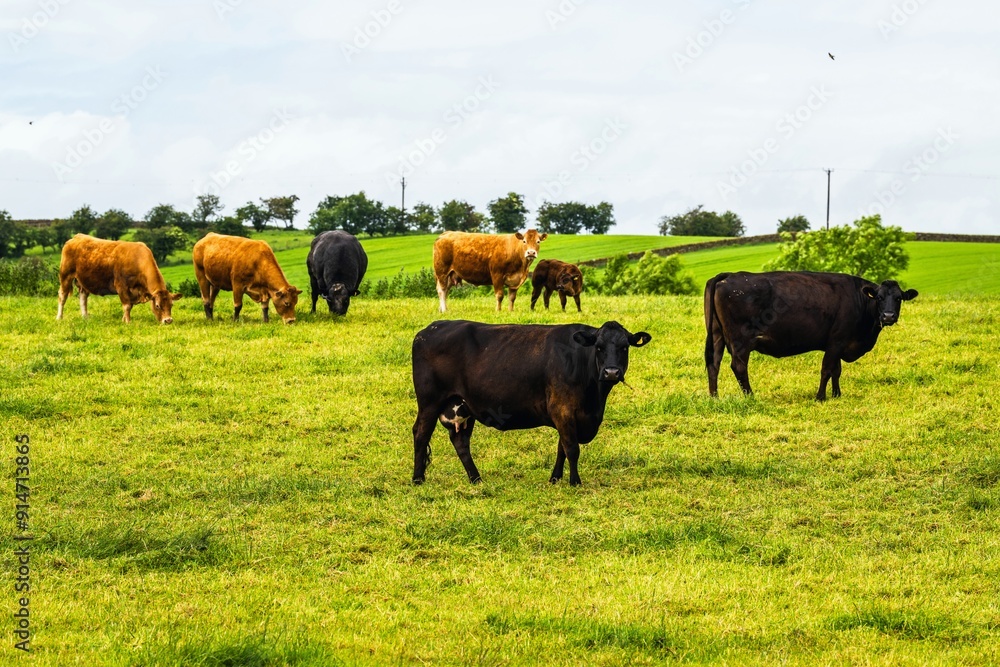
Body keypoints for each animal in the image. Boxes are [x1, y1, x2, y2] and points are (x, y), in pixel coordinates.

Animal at [411, 320, 651, 486]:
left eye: (624, 347)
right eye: (599, 347)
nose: (611, 372)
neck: (594, 401)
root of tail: (430, 328)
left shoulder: (568, 416)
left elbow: (561, 448)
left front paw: (555, 478)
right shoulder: (562, 409)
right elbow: (571, 448)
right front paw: (575, 482)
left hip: (463, 405)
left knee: (460, 441)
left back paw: (476, 479)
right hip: (429, 402)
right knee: (421, 434)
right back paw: (417, 478)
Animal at [704, 271, 918, 400]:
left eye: (898, 298)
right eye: (879, 298)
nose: (888, 316)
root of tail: (729, 275)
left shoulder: (838, 343)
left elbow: (836, 370)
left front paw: (836, 394)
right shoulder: (836, 341)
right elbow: (826, 370)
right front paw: (820, 397)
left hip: (716, 335)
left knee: (713, 364)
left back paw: (714, 397)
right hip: (741, 341)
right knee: (738, 367)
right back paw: (750, 396)